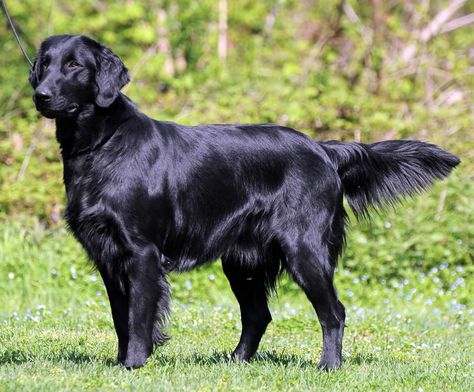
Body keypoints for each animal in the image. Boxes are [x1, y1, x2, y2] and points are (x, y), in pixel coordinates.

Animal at [28, 35, 460, 370]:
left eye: (74, 65)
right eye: (44, 64)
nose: (40, 94)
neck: (102, 144)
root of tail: (323, 149)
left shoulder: (141, 252)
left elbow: (137, 317)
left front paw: (134, 364)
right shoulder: (107, 255)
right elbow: (121, 317)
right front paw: (121, 363)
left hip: (303, 248)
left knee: (333, 312)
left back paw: (329, 366)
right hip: (242, 260)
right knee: (258, 315)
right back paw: (235, 362)